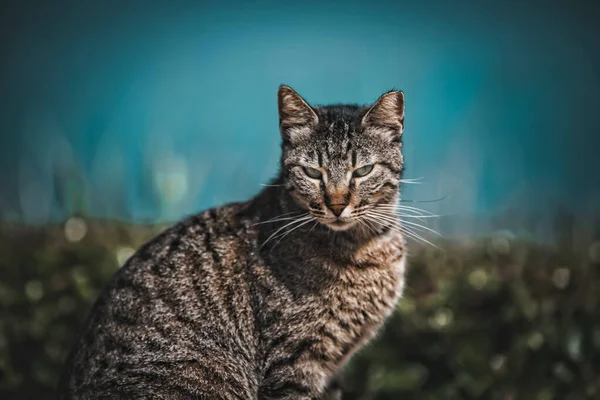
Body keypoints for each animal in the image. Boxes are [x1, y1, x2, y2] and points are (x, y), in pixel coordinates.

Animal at [57, 85, 408, 400]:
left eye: (362, 170)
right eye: (312, 173)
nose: (336, 205)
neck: (366, 248)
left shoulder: (332, 371)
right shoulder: (293, 363)